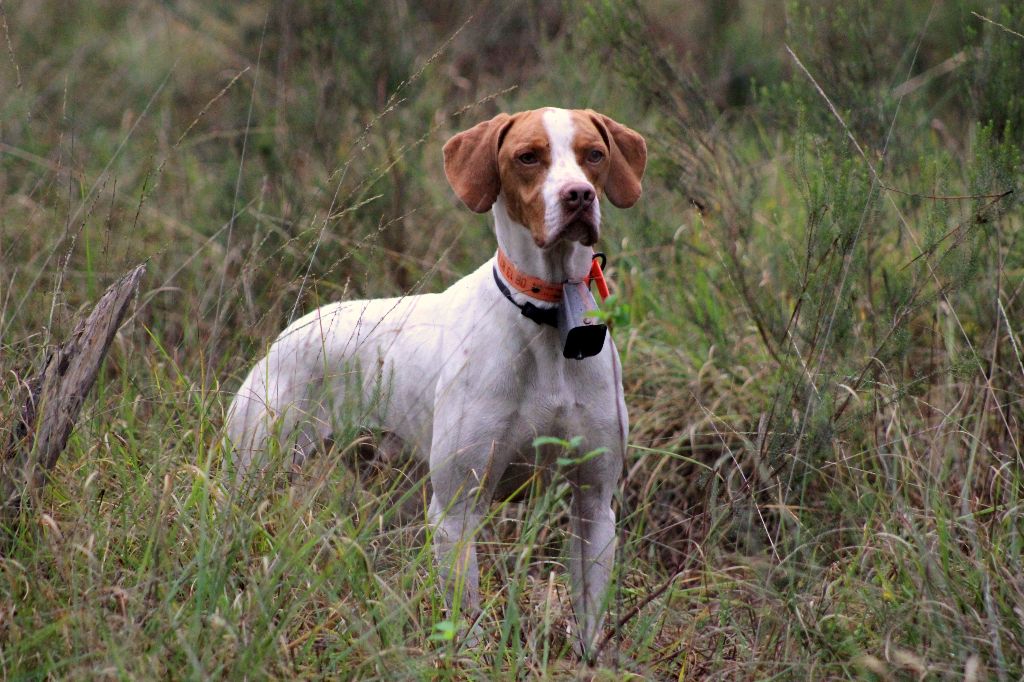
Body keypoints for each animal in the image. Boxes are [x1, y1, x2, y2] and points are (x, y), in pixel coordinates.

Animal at [226, 106, 647, 655]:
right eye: (527, 157)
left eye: (593, 155)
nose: (578, 196)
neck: (549, 320)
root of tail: (283, 336)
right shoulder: (456, 510)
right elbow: (465, 625)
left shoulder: (594, 506)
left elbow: (589, 621)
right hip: (254, 476)